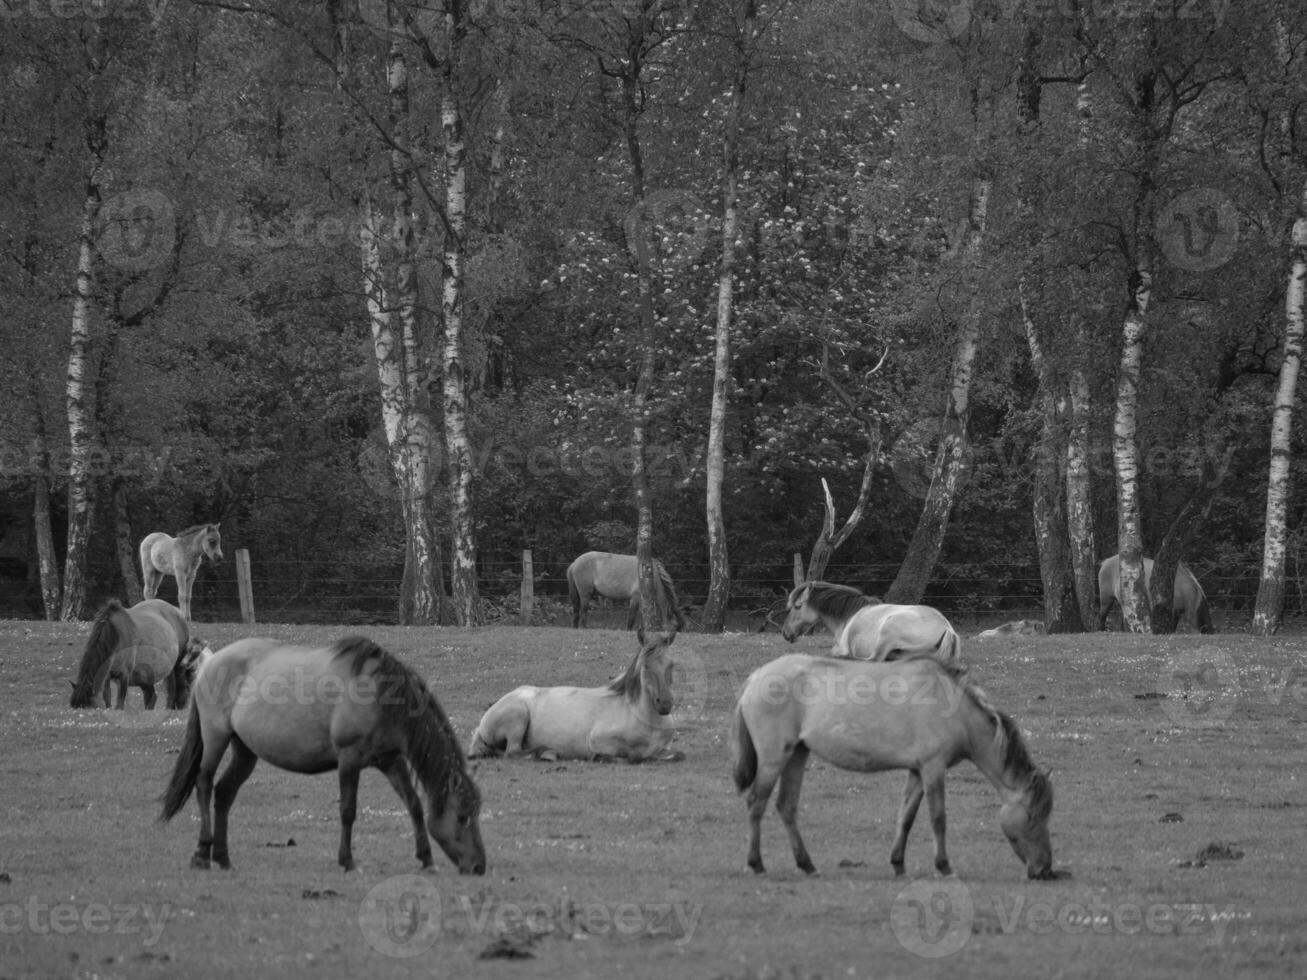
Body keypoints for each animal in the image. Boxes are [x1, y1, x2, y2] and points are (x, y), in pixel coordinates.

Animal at [69, 598, 201, 716]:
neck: (116, 635)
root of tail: (177, 611)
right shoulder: (107, 675)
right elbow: (107, 697)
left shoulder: (124, 675)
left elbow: (120, 702)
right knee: (152, 696)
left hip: (174, 668)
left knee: (173, 690)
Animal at [470, 629, 684, 768]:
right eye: (646, 666)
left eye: (672, 664)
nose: (665, 704)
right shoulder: (599, 740)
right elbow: (635, 757)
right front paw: (601, 758)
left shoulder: (666, 748)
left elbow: (678, 755)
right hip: (518, 715)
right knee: (512, 752)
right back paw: (547, 753)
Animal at [778, 582, 967, 669]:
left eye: (797, 606)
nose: (785, 633)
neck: (849, 615)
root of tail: (947, 628)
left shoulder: (841, 647)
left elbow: (831, 652)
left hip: (887, 632)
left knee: (872, 661)